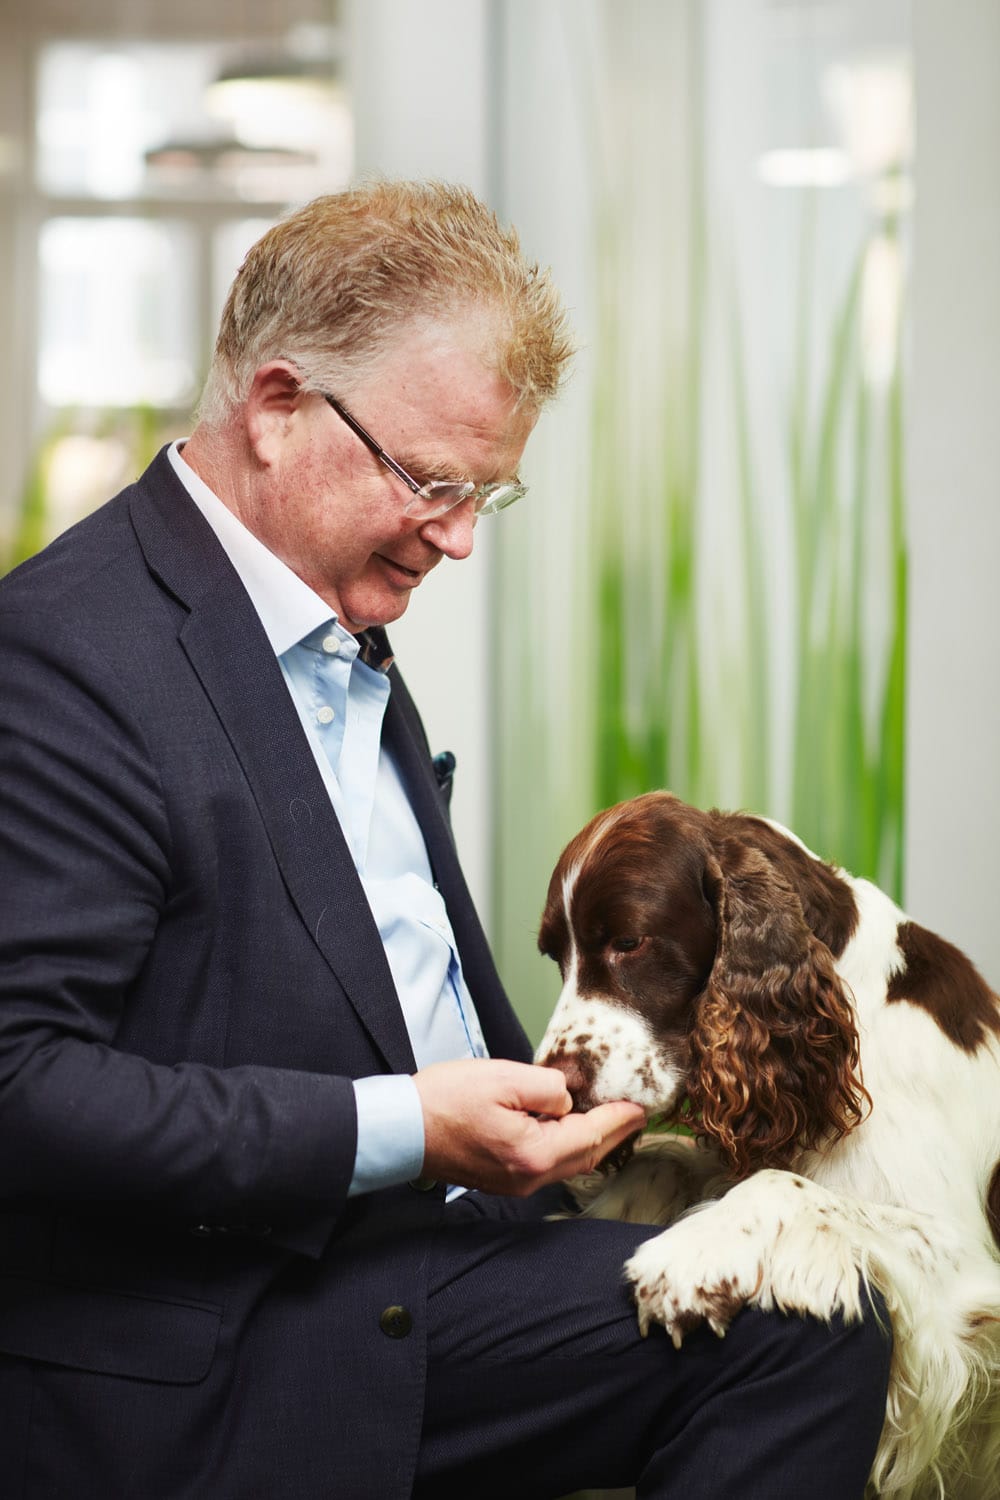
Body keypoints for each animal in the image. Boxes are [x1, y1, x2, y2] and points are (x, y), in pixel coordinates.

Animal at [535, 791, 1000, 1500]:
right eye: (554, 957)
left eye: (628, 942)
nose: (558, 1083)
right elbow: (673, 1158)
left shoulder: (964, 1263)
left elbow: (784, 1182)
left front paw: (693, 1256)